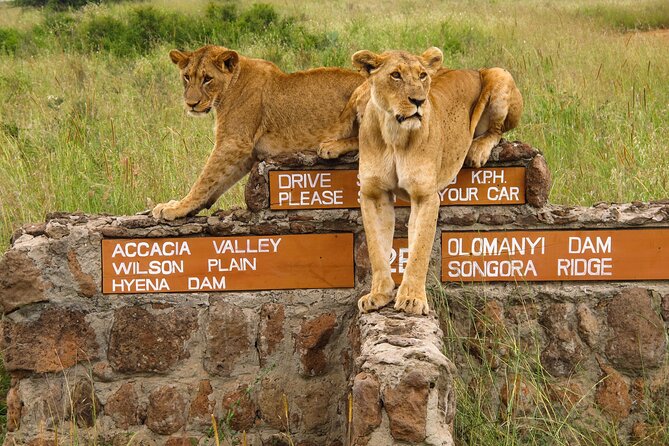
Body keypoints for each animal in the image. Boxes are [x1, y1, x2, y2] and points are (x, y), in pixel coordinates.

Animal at [152, 45, 364, 220]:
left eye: (207, 79)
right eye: (187, 76)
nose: (191, 104)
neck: (230, 86)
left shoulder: (234, 142)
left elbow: (204, 179)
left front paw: (176, 208)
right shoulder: (248, 152)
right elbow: (217, 183)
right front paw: (184, 206)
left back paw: (331, 146)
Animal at [327, 48, 522, 315]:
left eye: (422, 76)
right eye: (395, 75)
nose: (419, 101)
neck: (394, 136)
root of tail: (474, 68)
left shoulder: (425, 196)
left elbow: (419, 250)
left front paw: (411, 299)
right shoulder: (373, 194)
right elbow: (377, 249)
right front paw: (378, 294)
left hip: (500, 75)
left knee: (497, 131)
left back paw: (478, 149)